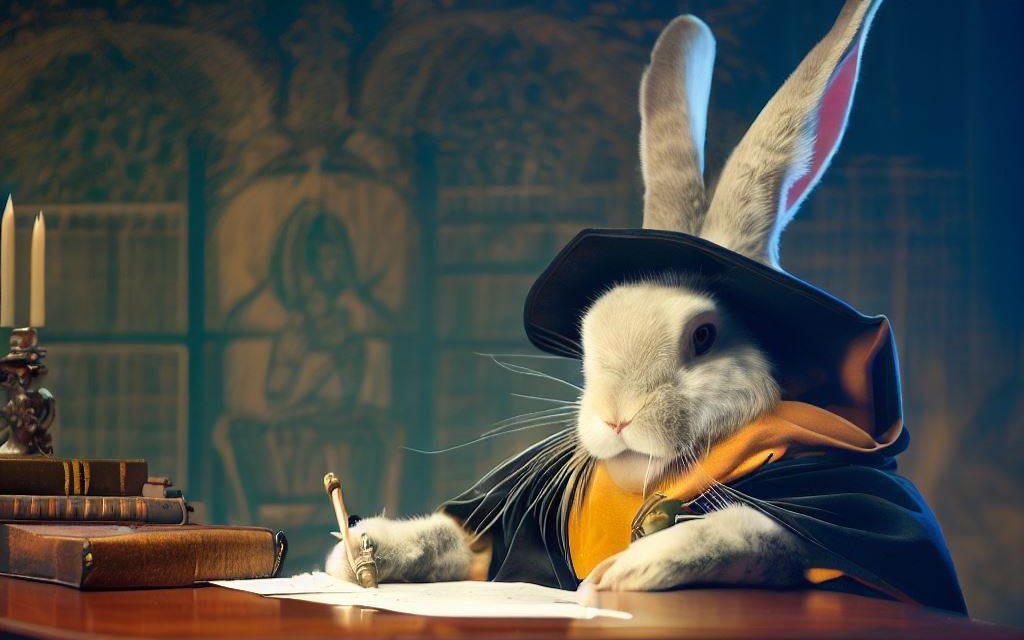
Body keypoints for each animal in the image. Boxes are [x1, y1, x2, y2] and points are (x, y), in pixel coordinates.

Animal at [326, 0, 882, 591]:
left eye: (704, 336)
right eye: (589, 335)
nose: (617, 418)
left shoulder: (837, 507)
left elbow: (756, 531)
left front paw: (630, 569)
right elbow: (454, 540)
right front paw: (361, 550)